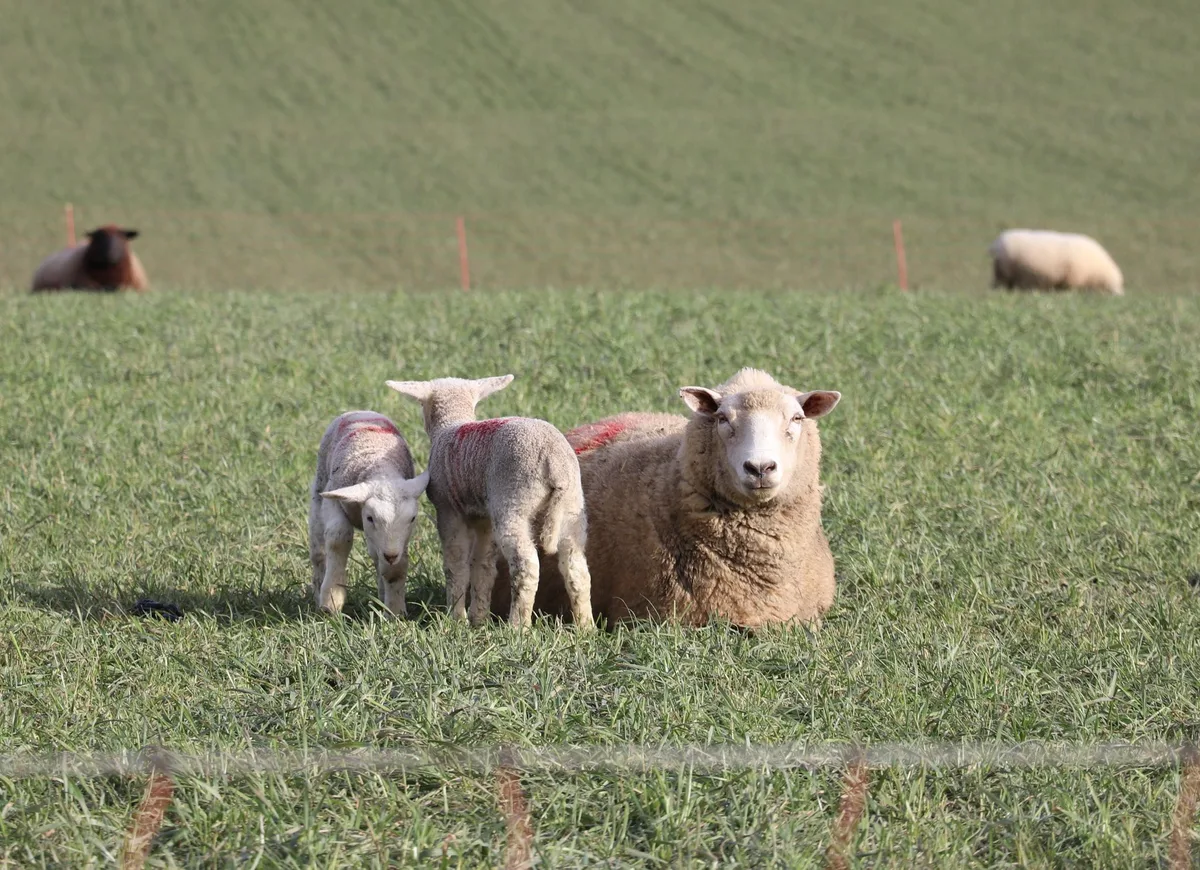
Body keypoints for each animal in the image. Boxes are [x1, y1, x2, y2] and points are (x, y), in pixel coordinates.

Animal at [308, 410, 429, 615]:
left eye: (413, 518)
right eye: (370, 518)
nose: (391, 555)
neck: (380, 470)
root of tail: (361, 411)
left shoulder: (397, 542)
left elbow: (395, 569)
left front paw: (395, 611)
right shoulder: (334, 501)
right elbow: (338, 538)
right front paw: (331, 602)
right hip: (320, 490)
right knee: (318, 552)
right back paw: (318, 592)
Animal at [385, 375, 594, 629]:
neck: (451, 424)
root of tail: (553, 460)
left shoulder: (447, 510)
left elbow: (456, 565)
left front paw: (457, 618)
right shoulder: (483, 516)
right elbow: (483, 567)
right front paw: (478, 618)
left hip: (513, 500)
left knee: (526, 565)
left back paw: (518, 626)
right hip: (572, 508)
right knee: (576, 568)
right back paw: (586, 626)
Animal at [988, 229, 1124, 295]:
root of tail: (997, 243)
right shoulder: (1073, 279)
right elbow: (1069, 291)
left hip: (1002, 271)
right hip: (1005, 271)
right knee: (1000, 286)